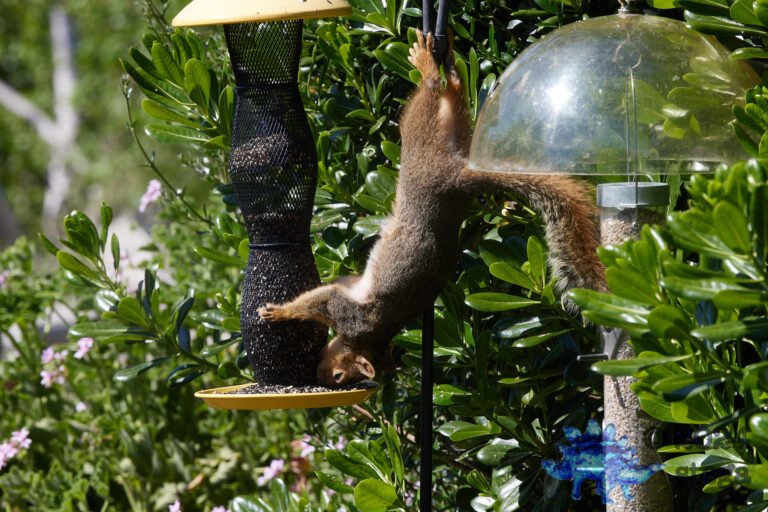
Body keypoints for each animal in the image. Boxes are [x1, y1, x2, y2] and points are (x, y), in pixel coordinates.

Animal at [258, 31, 605, 387]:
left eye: (340, 377)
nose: (321, 377)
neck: (370, 337)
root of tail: (458, 175)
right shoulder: (350, 295)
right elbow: (331, 289)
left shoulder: (349, 313)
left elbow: (321, 299)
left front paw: (280, 311)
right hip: (442, 130)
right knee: (449, 93)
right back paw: (445, 66)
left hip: (420, 142)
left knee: (431, 92)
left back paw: (427, 65)